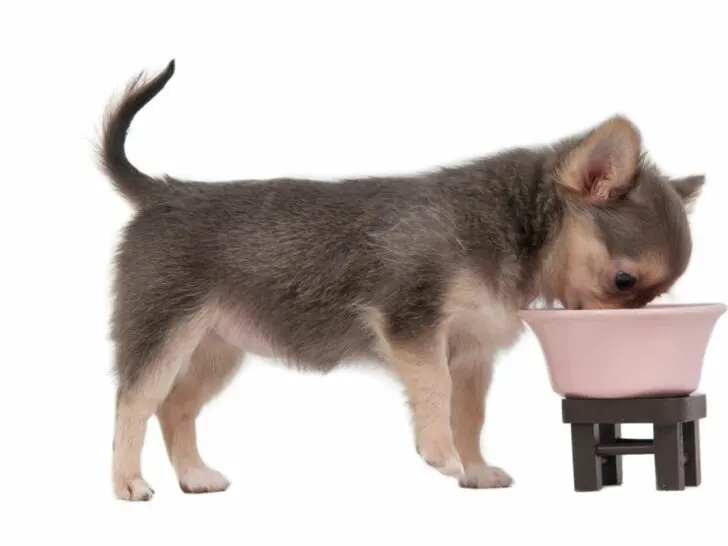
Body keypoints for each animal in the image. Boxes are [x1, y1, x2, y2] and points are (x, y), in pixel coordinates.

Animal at [99, 60, 704, 502]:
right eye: (624, 281)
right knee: (133, 403)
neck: (510, 226)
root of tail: (163, 192)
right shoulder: (413, 324)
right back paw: (128, 483)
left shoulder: (472, 353)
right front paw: (440, 454)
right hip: (164, 332)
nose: (626, 334)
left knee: (175, 408)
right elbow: (434, 390)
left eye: (654, 296)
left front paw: (474, 470)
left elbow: (469, 415)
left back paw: (193, 476)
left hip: (218, 348)